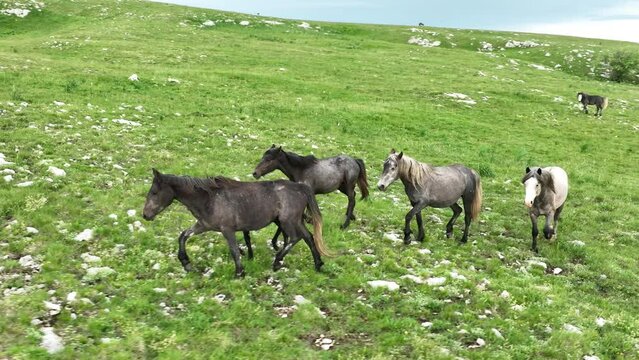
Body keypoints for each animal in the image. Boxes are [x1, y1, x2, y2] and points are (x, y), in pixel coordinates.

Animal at [142, 169, 328, 278]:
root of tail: (301, 188)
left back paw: (277, 262)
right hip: (295, 220)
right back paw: (318, 264)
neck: (209, 199)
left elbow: (233, 251)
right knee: (308, 237)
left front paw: (239, 272)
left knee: (295, 238)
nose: (145, 215)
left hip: (288, 221)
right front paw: (186, 263)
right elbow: (183, 236)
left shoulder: (227, 230)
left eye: (154, 192)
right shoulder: (203, 225)